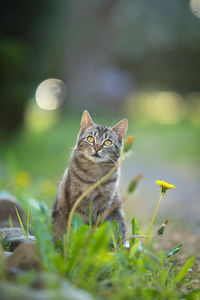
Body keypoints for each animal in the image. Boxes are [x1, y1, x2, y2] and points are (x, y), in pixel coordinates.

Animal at [51, 110, 126, 241]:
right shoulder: (77, 203)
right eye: (90, 139)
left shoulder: (104, 205)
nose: (97, 147)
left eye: (107, 142)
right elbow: (81, 227)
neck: (94, 175)